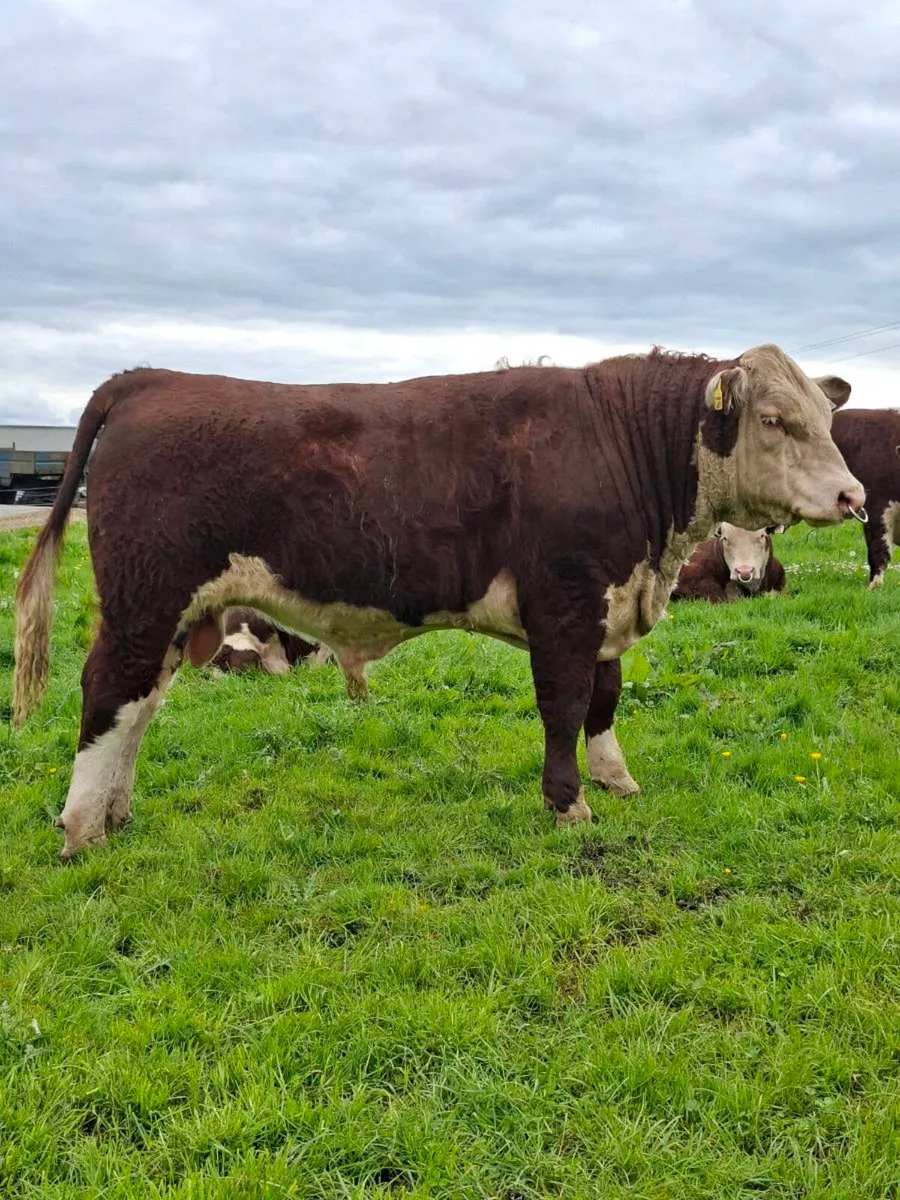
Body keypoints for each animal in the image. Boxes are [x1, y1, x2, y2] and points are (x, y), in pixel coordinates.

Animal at [12, 343, 865, 861]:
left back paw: (116, 812)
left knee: (138, 704)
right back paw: (83, 827)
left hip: (175, 613)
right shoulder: (565, 600)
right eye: (773, 419)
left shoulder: (607, 604)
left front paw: (616, 780)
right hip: (143, 599)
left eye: (827, 419)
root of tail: (151, 377)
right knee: (109, 690)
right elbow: (565, 703)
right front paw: (568, 804)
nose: (854, 496)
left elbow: (605, 699)